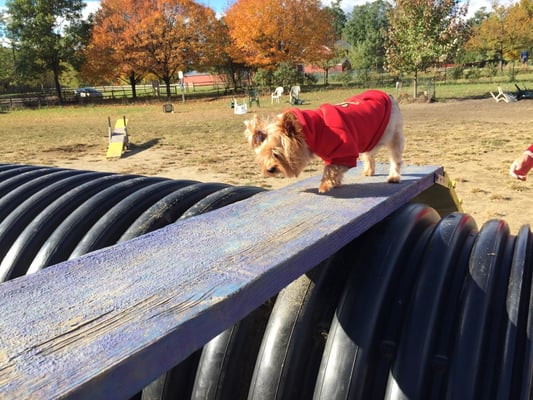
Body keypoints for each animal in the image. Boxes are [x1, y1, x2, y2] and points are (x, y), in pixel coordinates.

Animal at [244, 90, 404, 193]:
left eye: (276, 154)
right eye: (262, 157)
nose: (269, 170)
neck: (313, 129)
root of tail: (389, 96)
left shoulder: (344, 151)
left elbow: (331, 168)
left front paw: (325, 185)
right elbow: (334, 169)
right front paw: (335, 182)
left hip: (394, 136)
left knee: (395, 158)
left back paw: (394, 177)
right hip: (370, 136)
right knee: (369, 155)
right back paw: (369, 171)